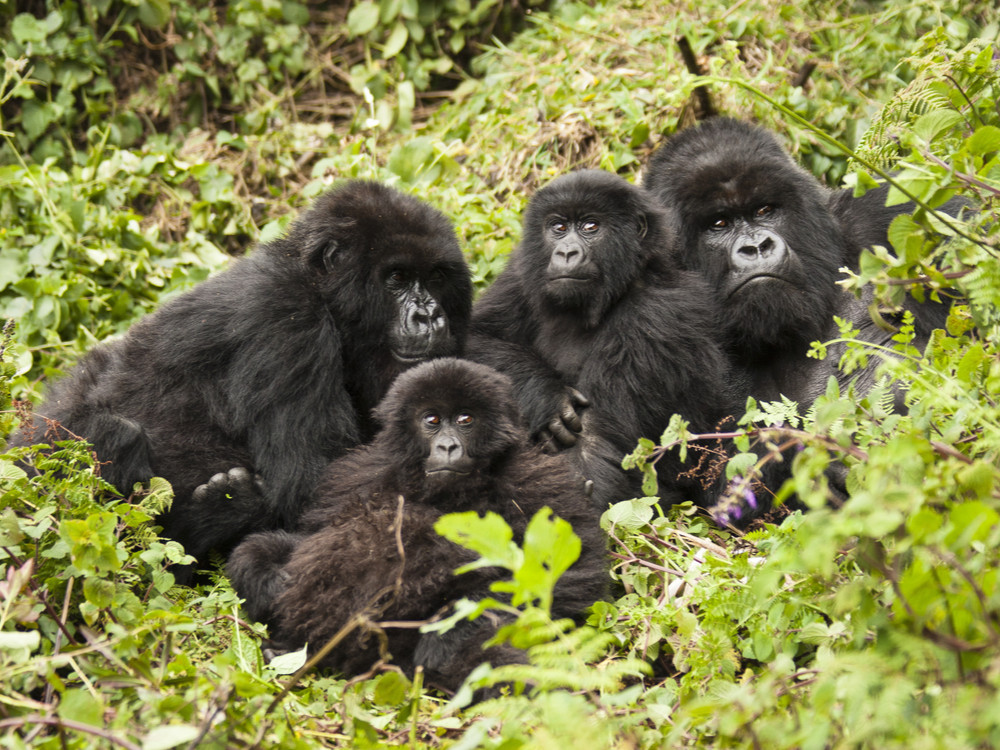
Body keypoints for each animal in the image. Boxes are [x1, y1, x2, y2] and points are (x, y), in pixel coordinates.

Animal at [9, 181, 472, 568]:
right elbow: (311, 483)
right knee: (115, 434)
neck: (317, 286)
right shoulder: (284, 319)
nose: (429, 315)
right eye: (397, 277)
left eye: (435, 277)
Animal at [226, 358, 604, 692]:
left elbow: (571, 574)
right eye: (432, 419)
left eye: (465, 419)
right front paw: (266, 576)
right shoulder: (357, 476)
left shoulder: (536, 481)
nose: (448, 446)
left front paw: (448, 633)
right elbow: (306, 539)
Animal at [464, 170, 740, 512]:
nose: (566, 253)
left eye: (590, 227)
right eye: (558, 228)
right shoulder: (521, 273)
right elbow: (476, 338)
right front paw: (545, 395)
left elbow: (595, 449)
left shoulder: (656, 314)